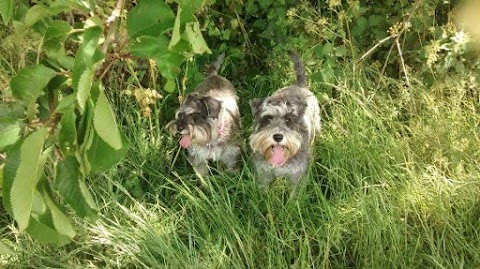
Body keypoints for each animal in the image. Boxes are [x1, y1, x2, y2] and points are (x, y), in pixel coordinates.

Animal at [249, 50, 320, 184]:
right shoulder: (264, 175)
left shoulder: (297, 177)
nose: (277, 137)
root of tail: (299, 86)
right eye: (268, 119)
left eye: (288, 119)